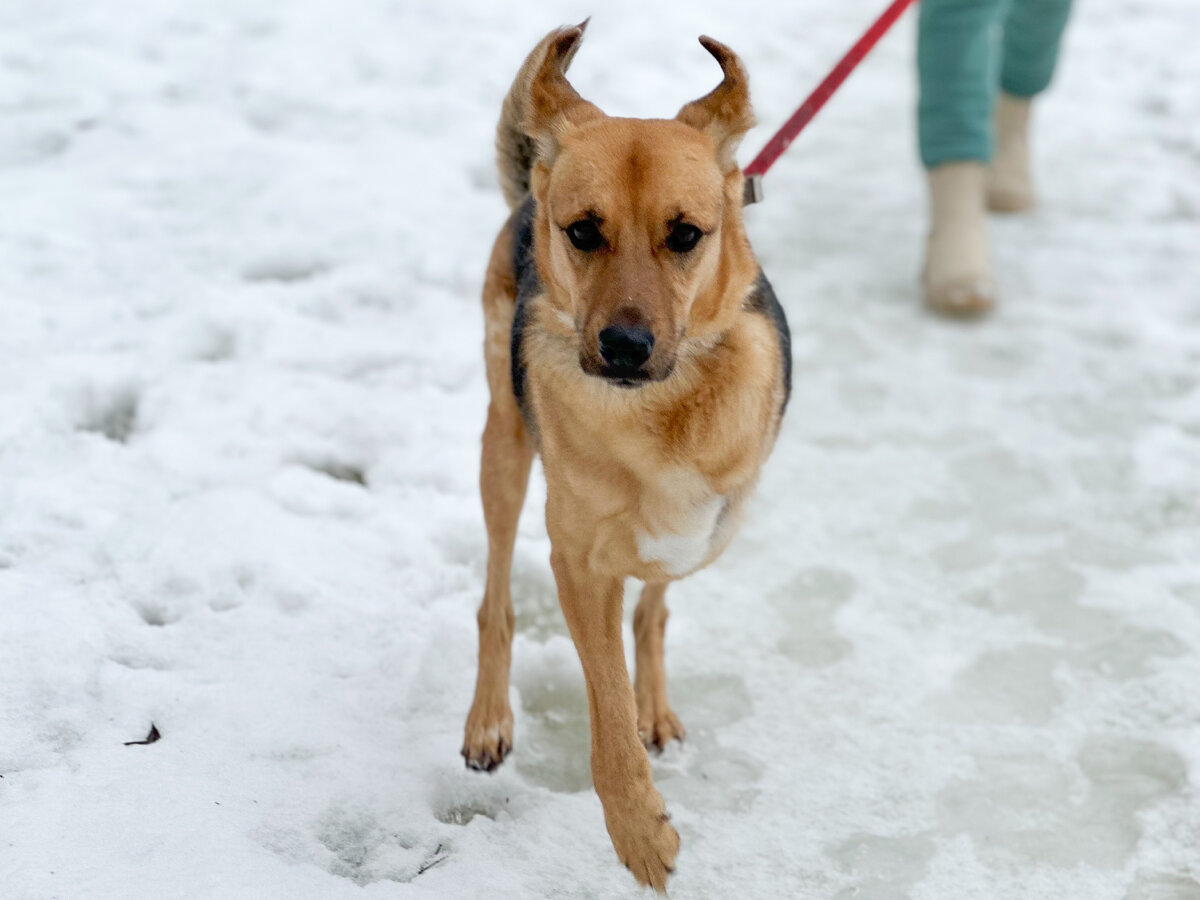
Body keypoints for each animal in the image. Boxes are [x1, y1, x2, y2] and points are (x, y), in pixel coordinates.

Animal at [458, 22, 787, 897]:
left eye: (686, 234)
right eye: (583, 230)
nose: (627, 347)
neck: (657, 410)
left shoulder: (704, 522)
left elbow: (650, 614)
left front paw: (647, 715)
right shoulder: (575, 557)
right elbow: (603, 709)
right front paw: (639, 831)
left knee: (655, 605)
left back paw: (655, 707)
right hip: (503, 447)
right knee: (496, 600)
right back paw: (488, 718)